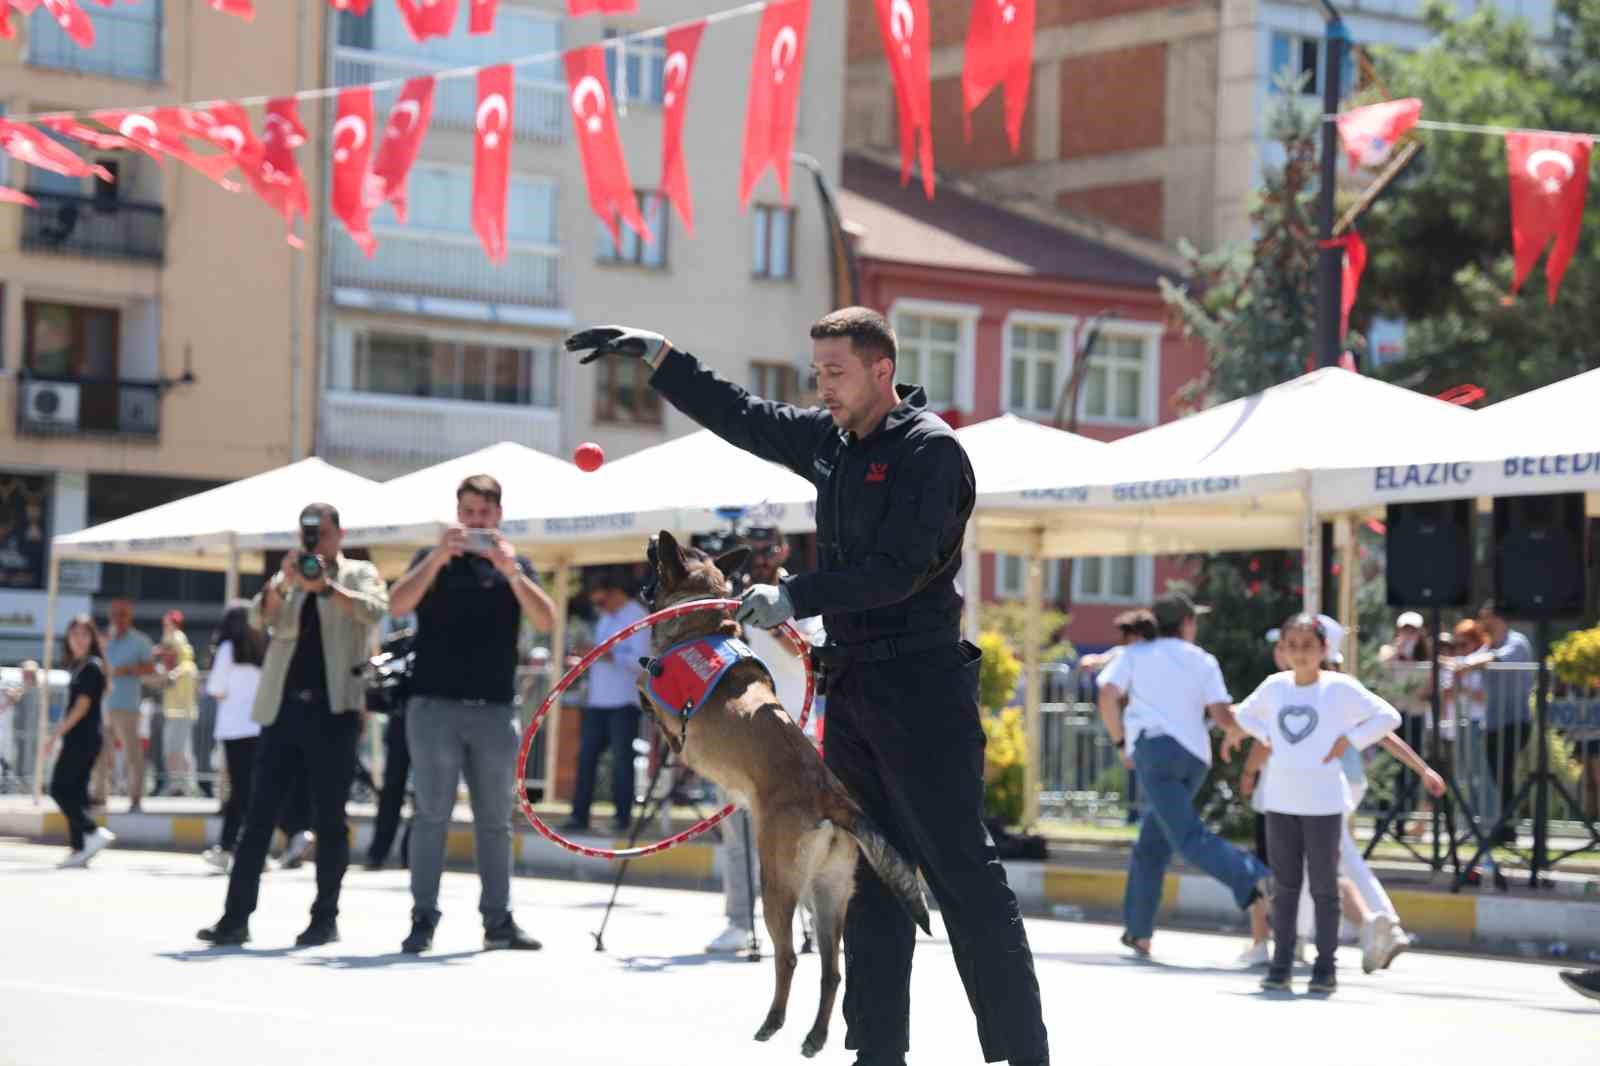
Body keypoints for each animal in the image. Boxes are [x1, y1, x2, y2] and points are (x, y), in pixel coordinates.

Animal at [643, 531, 934, 1056]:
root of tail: (832, 798)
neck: (701, 620)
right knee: (833, 971)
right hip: (827, 895)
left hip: (778, 885)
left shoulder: (667, 717)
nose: (654, 536)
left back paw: (773, 1021)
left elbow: (643, 687)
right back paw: (815, 1036)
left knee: (788, 958)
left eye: (660, 554)